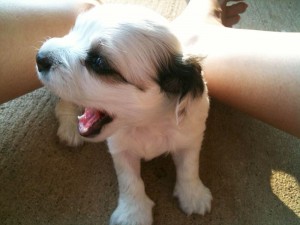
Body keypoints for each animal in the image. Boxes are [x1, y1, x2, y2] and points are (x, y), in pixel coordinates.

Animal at [36, 3, 212, 225]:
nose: (40, 57)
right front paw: (133, 213)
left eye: (99, 62)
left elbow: (189, 165)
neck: (146, 123)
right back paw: (70, 129)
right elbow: (130, 180)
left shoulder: (190, 136)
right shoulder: (121, 148)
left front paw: (193, 194)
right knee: (65, 103)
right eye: (72, 32)